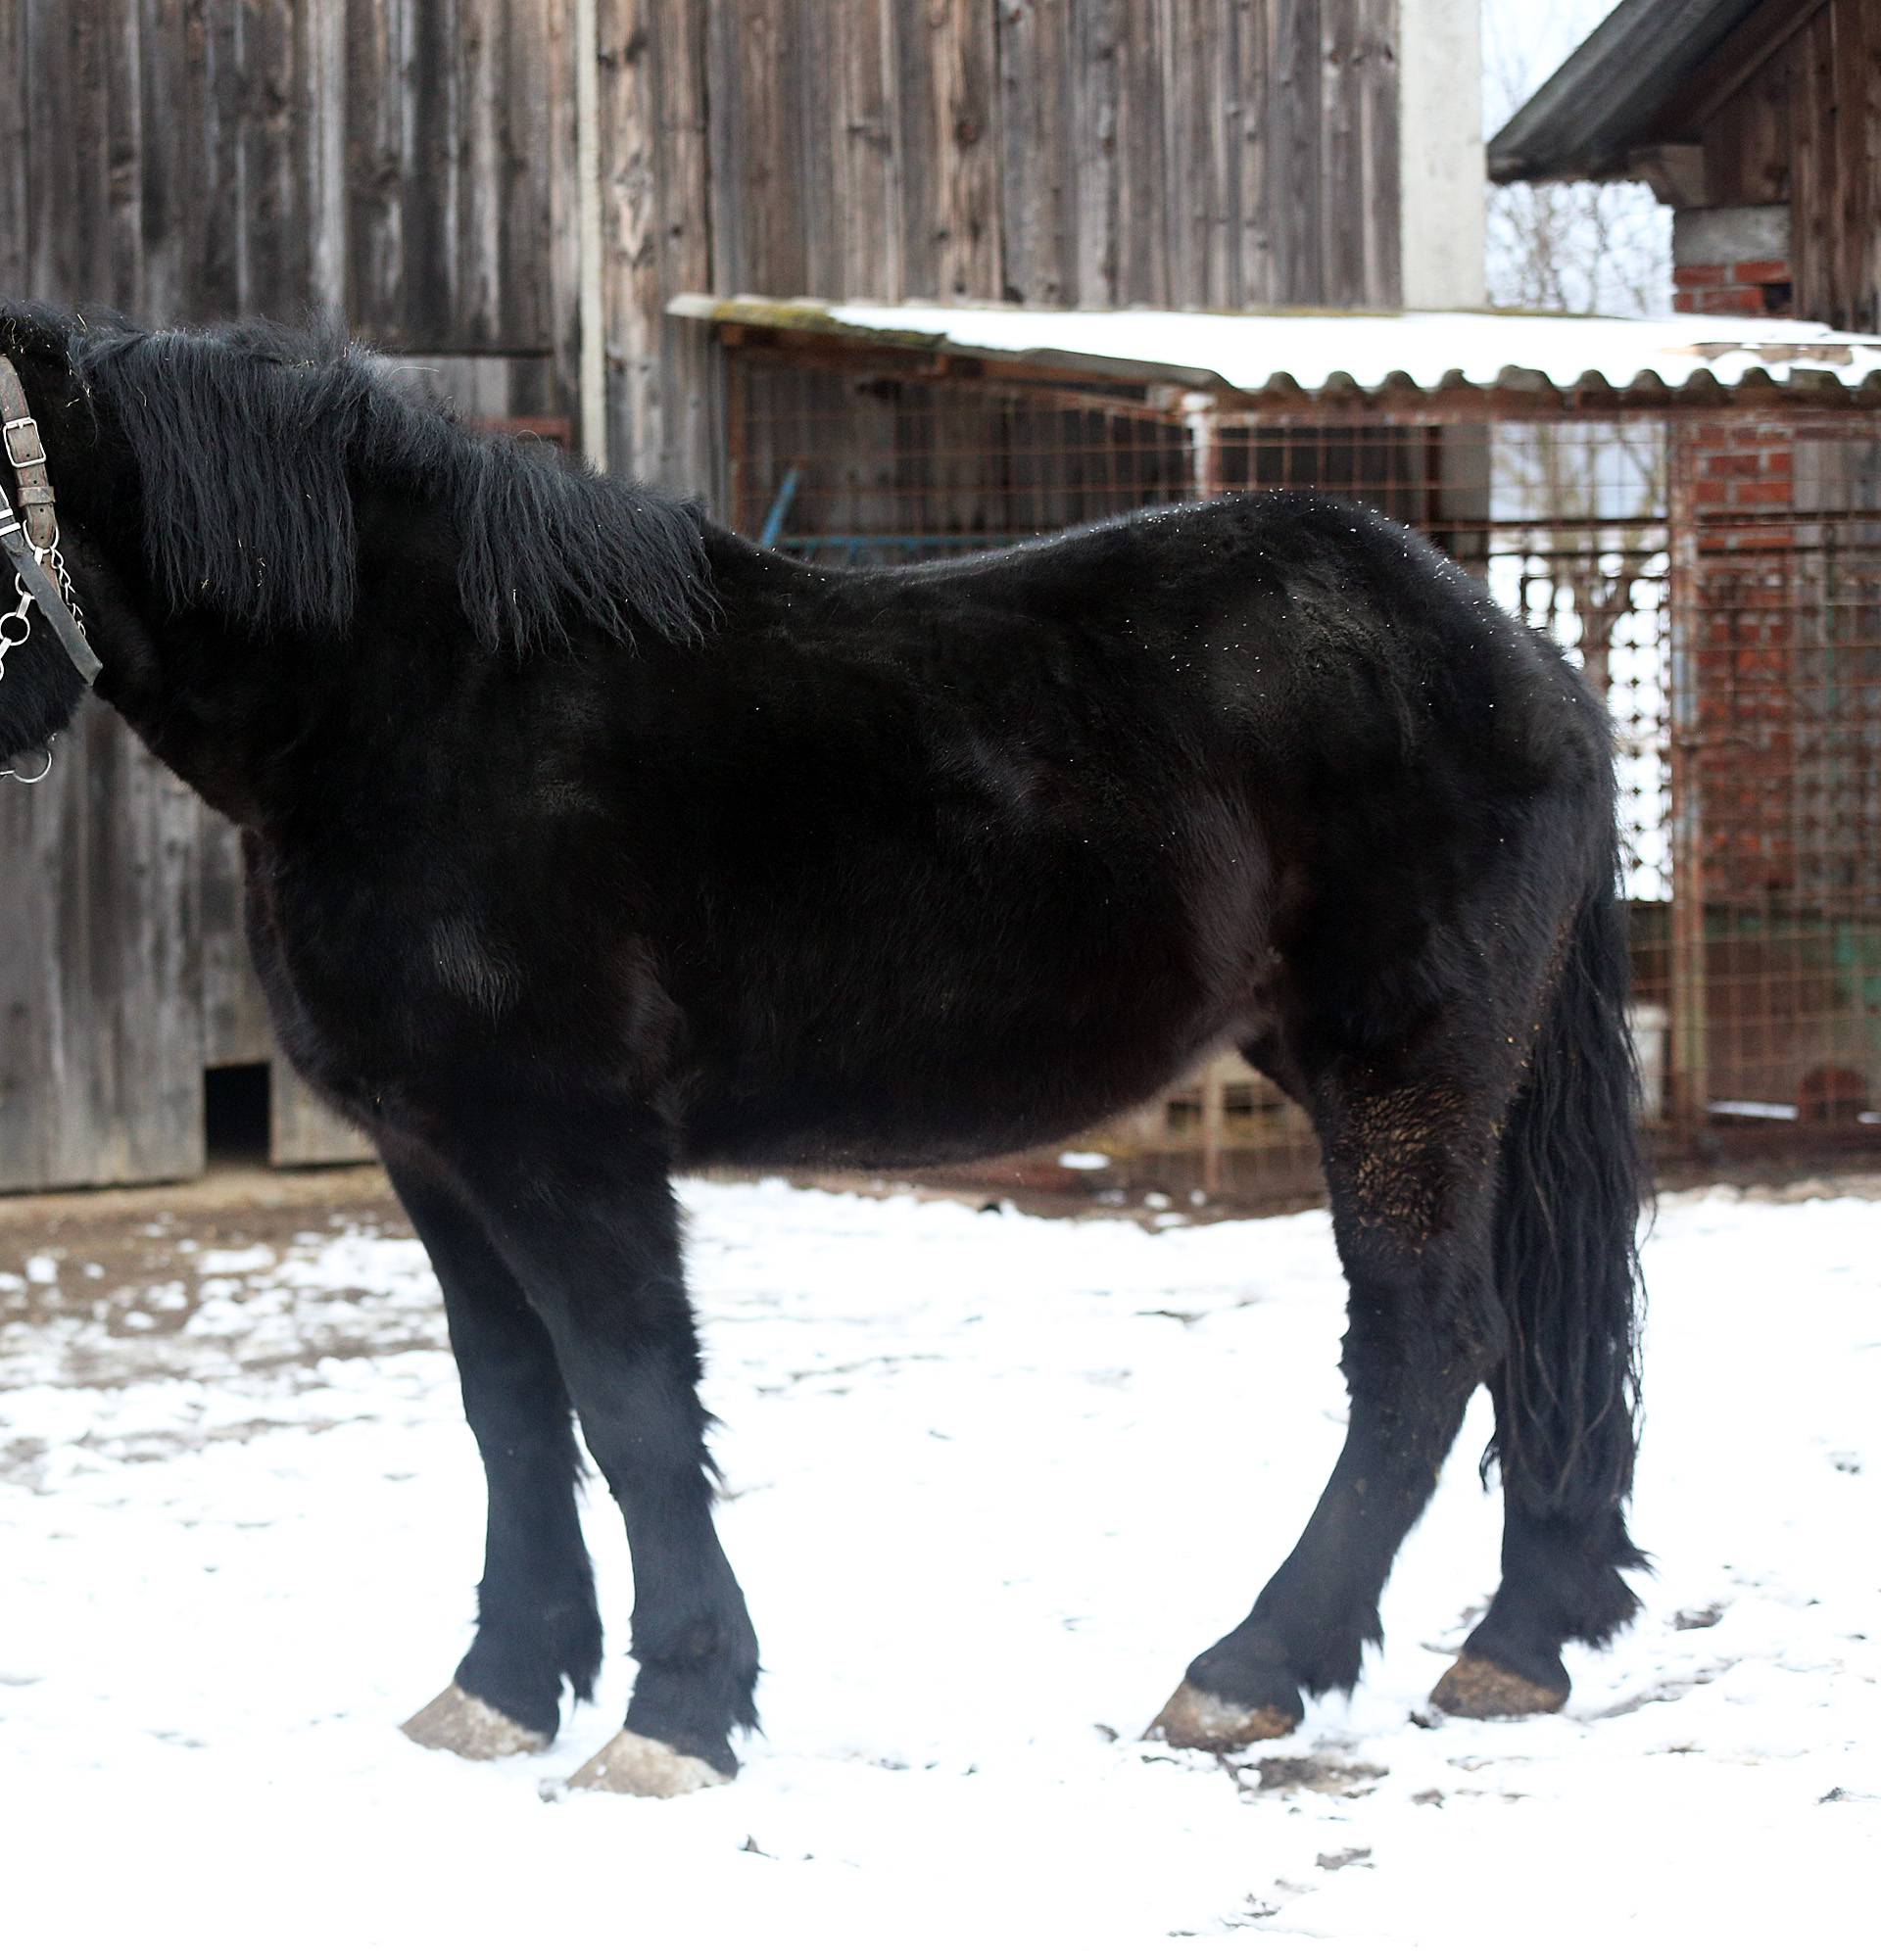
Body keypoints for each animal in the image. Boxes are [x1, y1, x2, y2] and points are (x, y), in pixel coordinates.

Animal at [3, 313, 1646, 1794]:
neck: (402, 702)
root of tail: (1521, 658)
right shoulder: (431, 1150)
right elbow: (512, 1411)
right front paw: (504, 1689)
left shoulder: (566, 1142)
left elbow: (632, 1405)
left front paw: (676, 1715)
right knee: (1526, 1330)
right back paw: (1519, 1642)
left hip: (1400, 1066)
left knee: (1425, 1349)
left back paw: (1249, 1670)